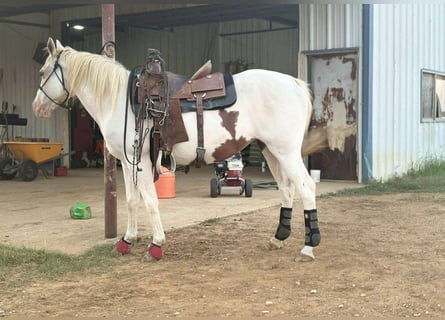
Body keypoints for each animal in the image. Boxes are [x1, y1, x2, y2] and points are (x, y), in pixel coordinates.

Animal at [30, 38, 322, 260]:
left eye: (43, 72)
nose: (36, 108)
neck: (121, 101)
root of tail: (295, 84)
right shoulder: (126, 161)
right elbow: (132, 201)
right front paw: (126, 241)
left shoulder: (141, 161)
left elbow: (150, 201)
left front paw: (156, 245)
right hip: (271, 151)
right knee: (287, 189)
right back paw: (278, 238)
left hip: (285, 152)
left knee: (306, 187)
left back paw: (309, 246)